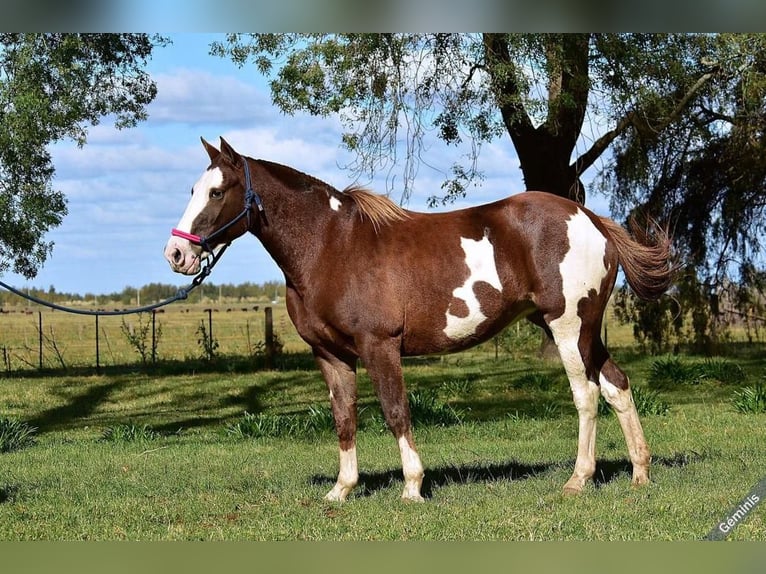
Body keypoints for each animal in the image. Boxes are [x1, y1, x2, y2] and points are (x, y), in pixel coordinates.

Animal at [162, 137, 672, 502]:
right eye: (191, 190)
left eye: (216, 191)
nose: (177, 254)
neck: (331, 246)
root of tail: (590, 218)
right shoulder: (330, 354)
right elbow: (344, 417)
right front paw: (341, 490)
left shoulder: (380, 346)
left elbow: (395, 412)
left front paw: (412, 487)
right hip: (580, 331)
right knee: (617, 385)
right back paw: (639, 472)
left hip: (568, 328)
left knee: (586, 396)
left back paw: (578, 479)